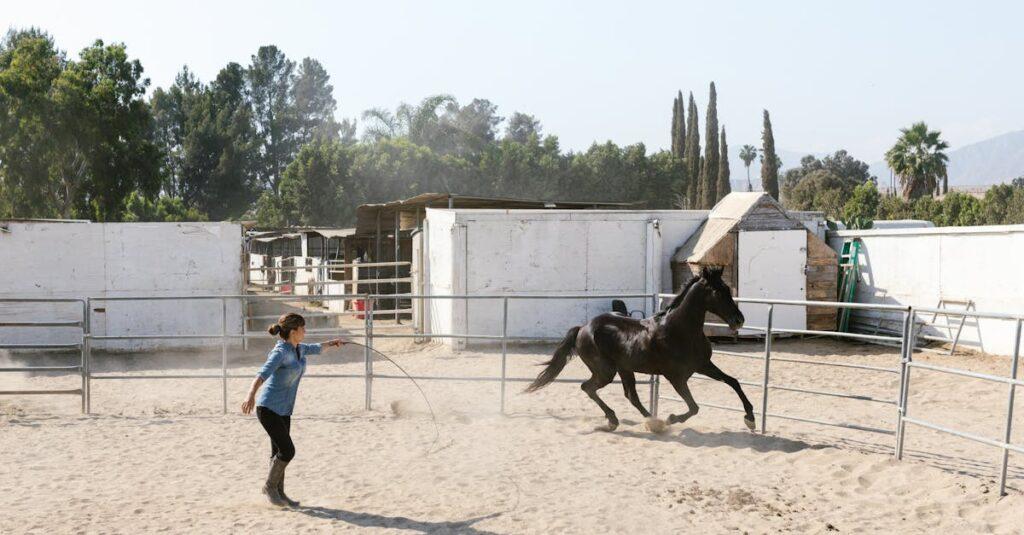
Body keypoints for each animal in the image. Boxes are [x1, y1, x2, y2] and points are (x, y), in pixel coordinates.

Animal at [524, 264, 757, 430]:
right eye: (717, 291)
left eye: (727, 288)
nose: (739, 320)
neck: (680, 330)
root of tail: (583, 328)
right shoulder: (676, 377)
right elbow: (694, 407)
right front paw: (671, 418)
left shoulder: (703, 365)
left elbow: (733, 382)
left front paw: (750, 418)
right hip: (606, 371)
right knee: (588, 387)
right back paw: (621, 421)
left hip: (624, 369)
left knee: (631, 396)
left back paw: (651, 421)